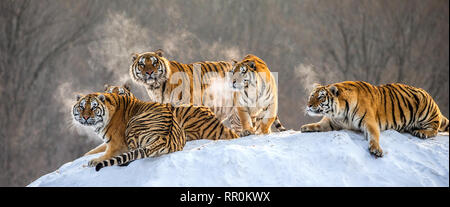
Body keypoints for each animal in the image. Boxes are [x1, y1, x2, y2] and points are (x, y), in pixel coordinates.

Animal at [74, 90, 241, 171]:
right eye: (81, 107)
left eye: (93, 107)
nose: (86, 117)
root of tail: (164, 138)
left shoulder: (116, 144)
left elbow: (104, 154)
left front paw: (93, 160)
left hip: (134, 125)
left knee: (132, 156)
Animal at [300, 80, 448, 157]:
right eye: (311, 96)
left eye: (321, 97)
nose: (308, 105)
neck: (339, 113)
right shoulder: (332, 122)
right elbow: (320, 124)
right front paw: (306, 127)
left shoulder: (369, 122)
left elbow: (373, 135)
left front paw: (376, 149)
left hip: (425, 109)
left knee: (435, 128)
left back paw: (422, 132)